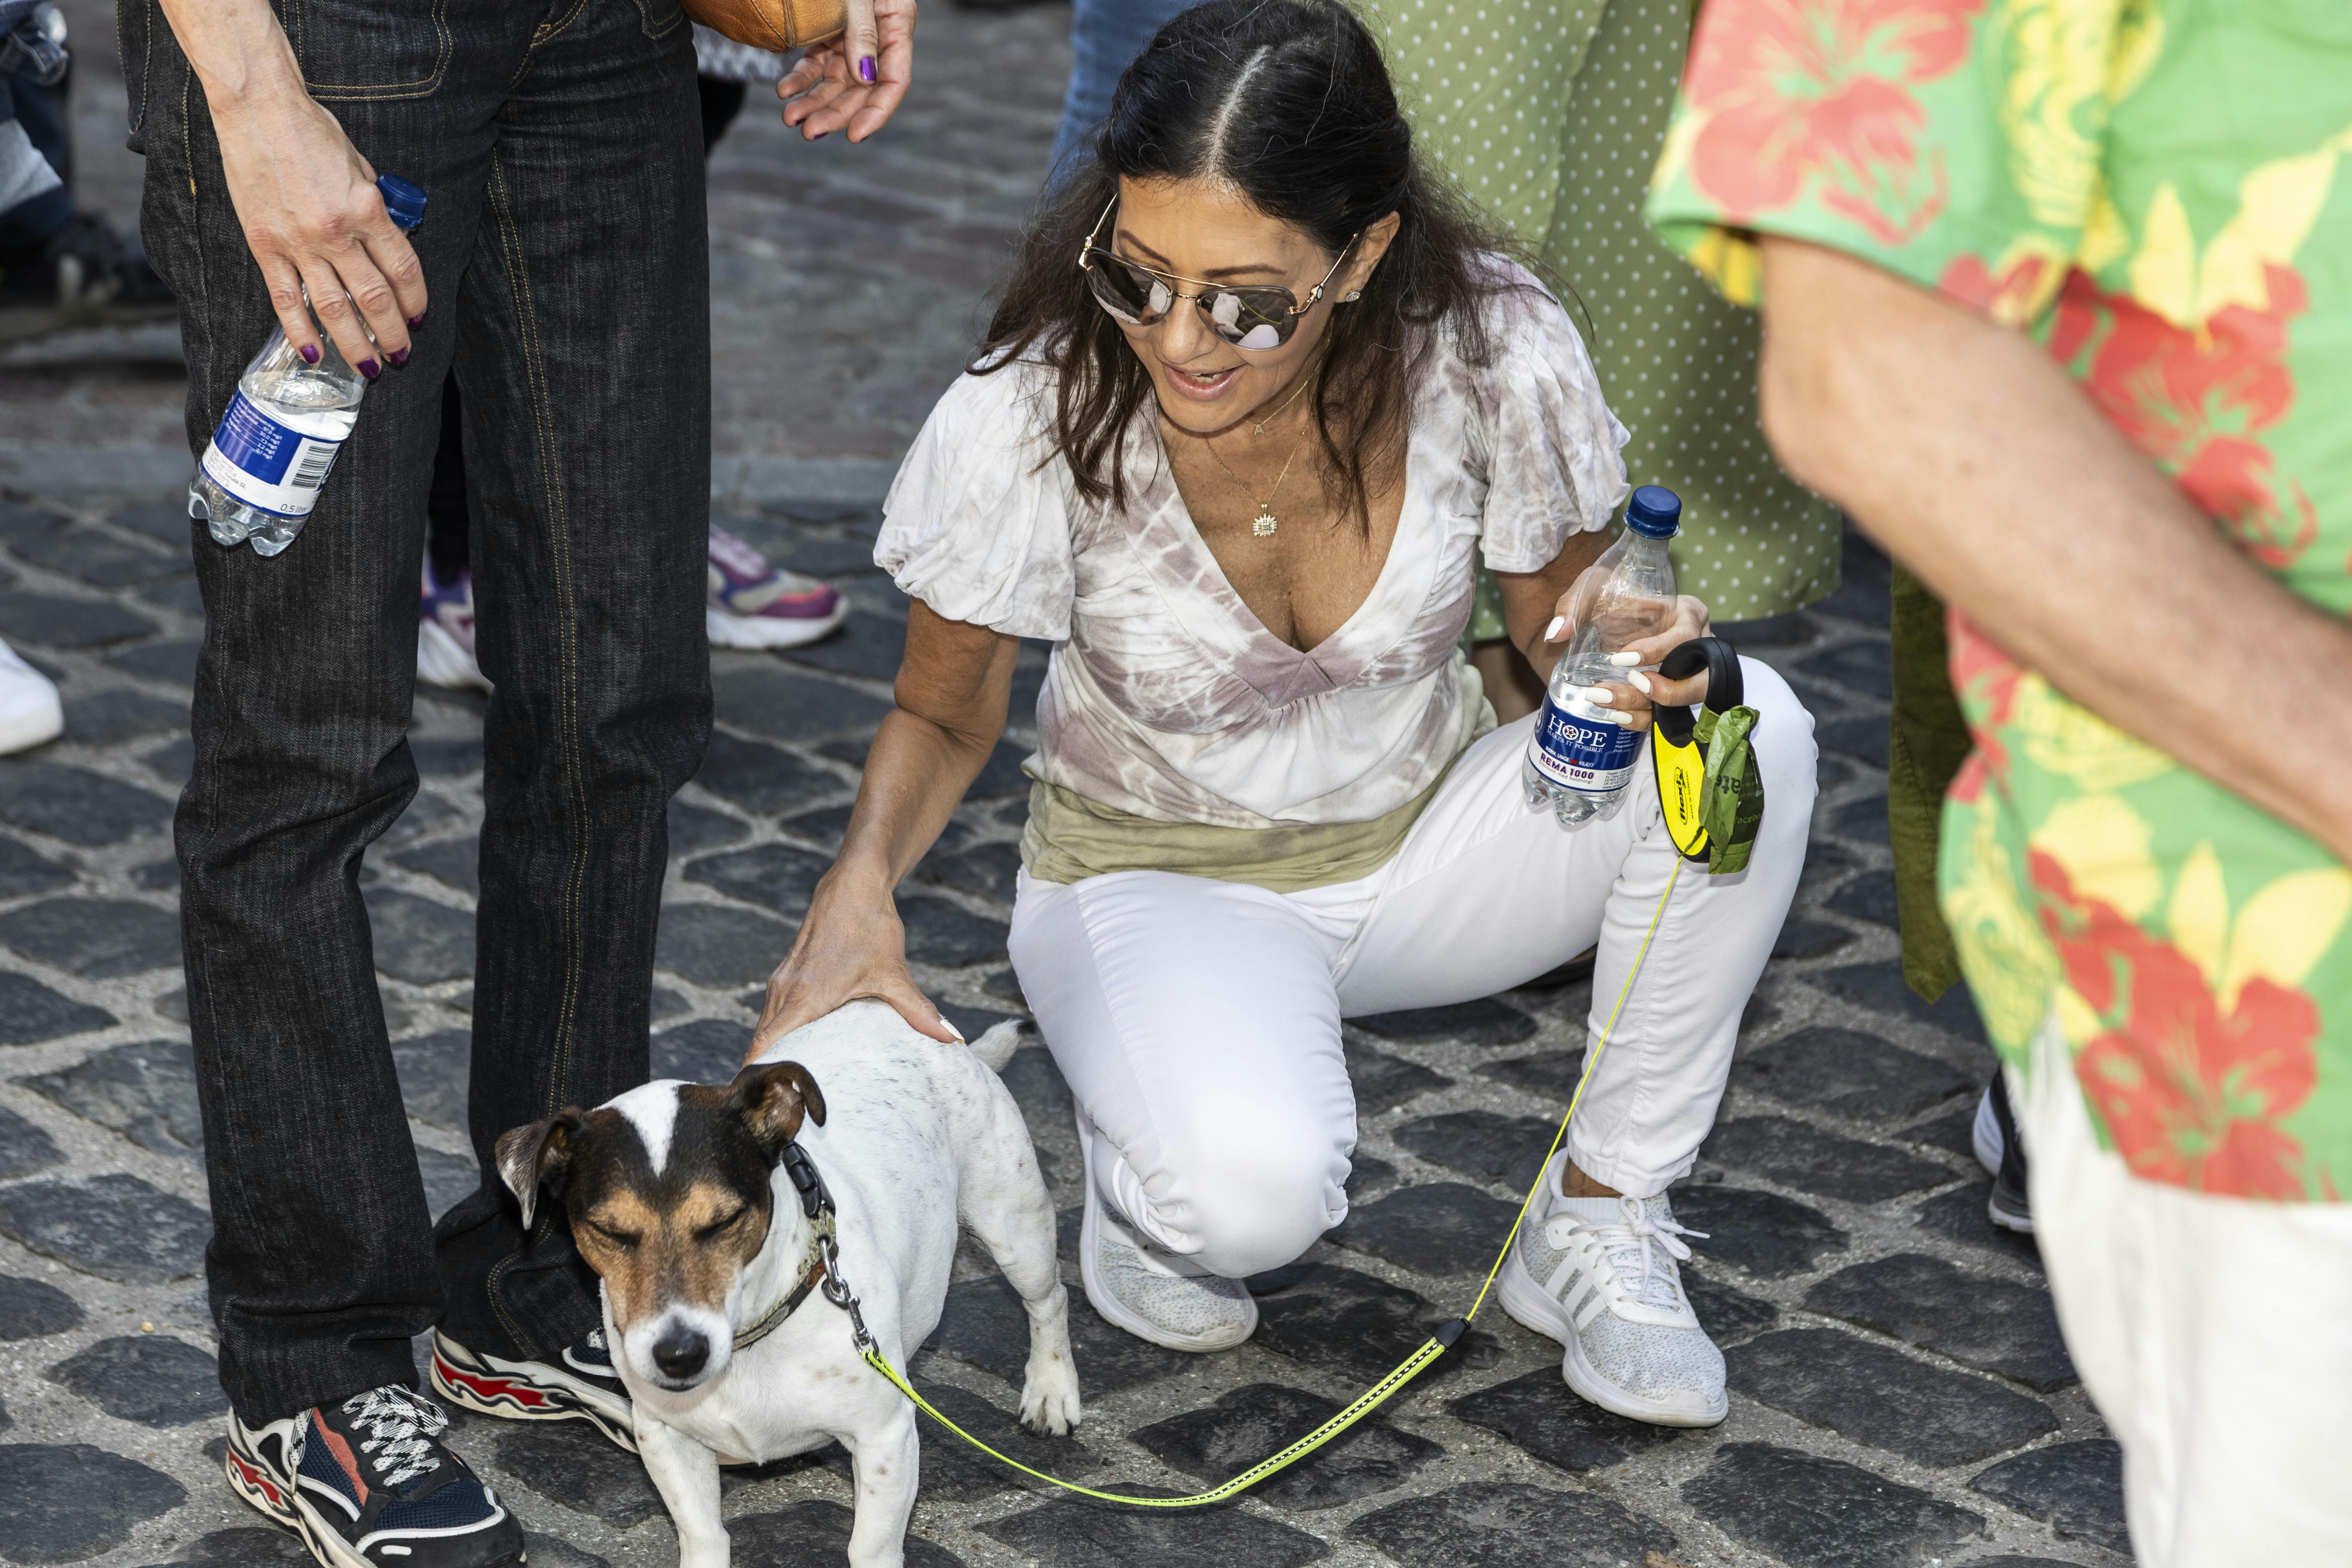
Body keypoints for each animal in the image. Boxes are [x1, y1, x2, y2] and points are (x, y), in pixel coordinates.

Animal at [501, 1006, 1087, 1568]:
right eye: (609, 1232)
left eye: (724, 1220)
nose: (680, 1355)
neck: (753, 1333)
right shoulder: (665, 1437)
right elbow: (704, 1535)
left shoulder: (885, 1437)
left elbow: (871, 1547)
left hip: (1015, 1227)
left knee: (1050, 1299)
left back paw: (1052, 1391)